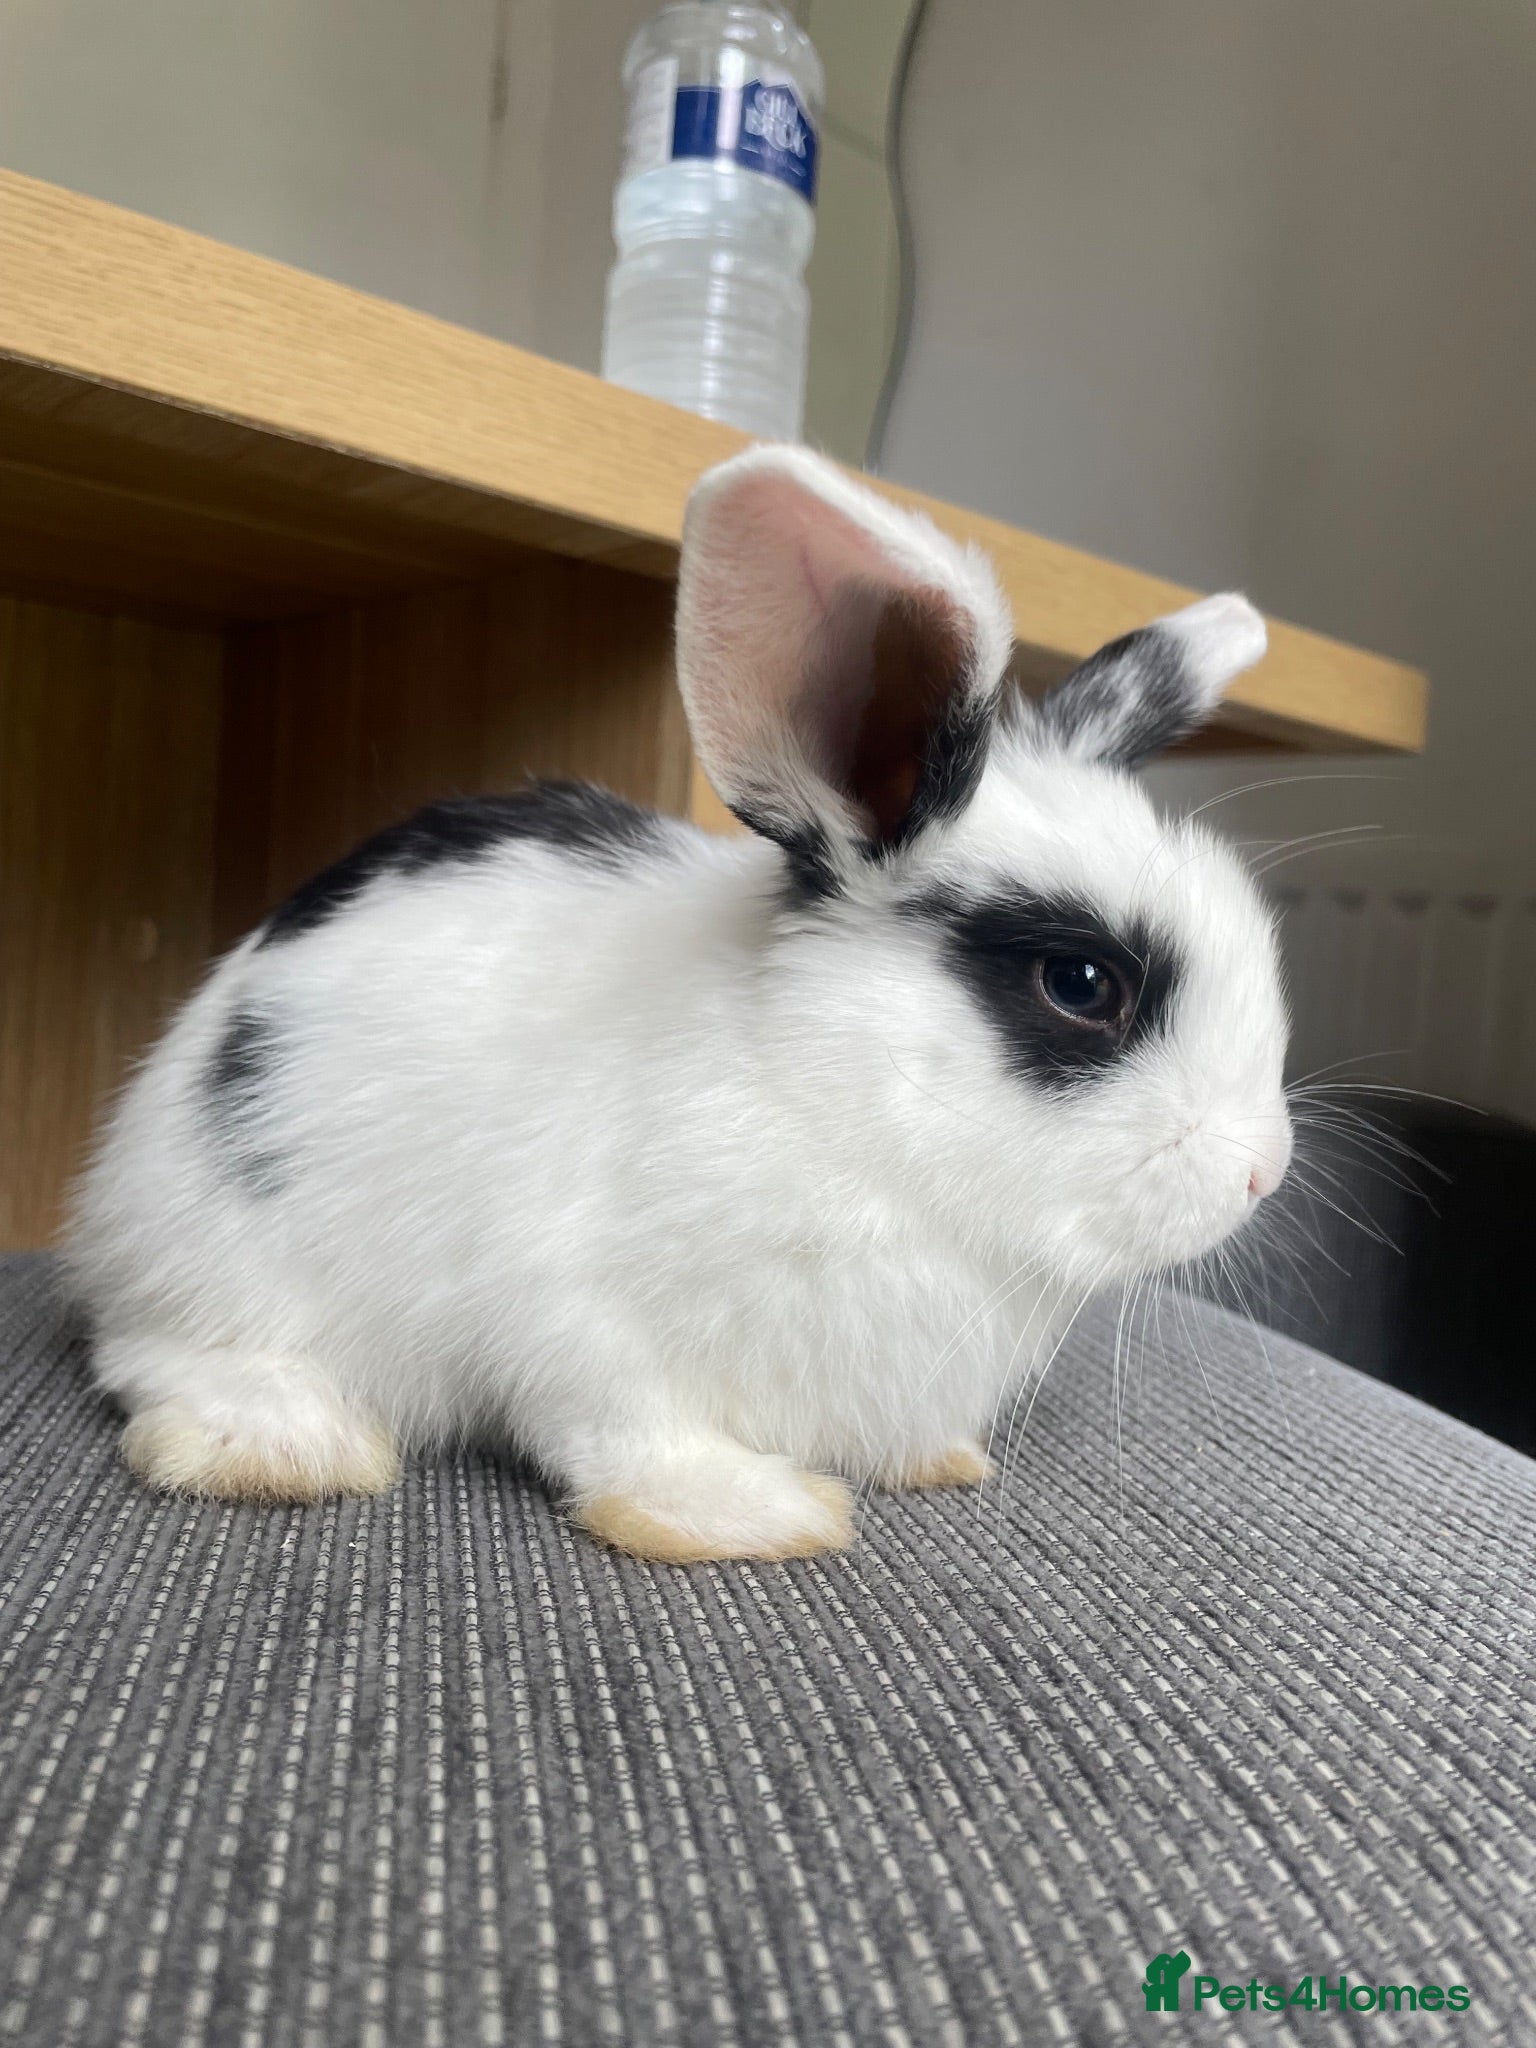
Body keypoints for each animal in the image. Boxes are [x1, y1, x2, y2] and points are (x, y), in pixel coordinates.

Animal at [67, 444, 1292, 1563]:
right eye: (1082, 985)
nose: (1261, 1174)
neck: (844, 1113)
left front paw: (939, 1461)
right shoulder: (589, 1318)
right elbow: (629, 1433)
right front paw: (752, 1518)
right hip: (221, 1248)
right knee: (150, 1354)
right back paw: (283, 1446)